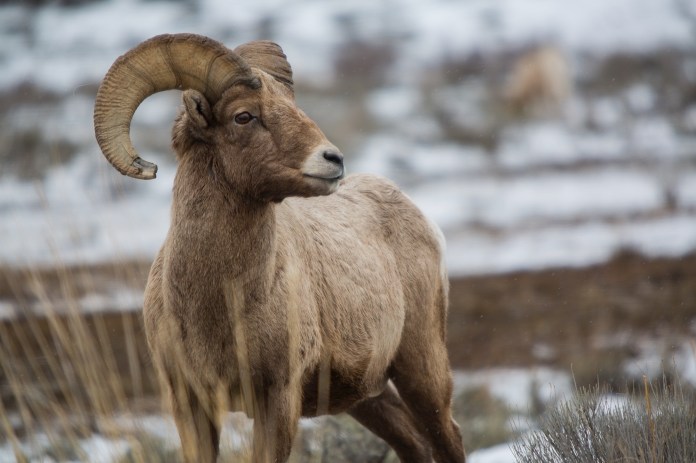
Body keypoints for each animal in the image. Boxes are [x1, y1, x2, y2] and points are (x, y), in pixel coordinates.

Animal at [93, 33, 465, 463]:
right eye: (243, 116)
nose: (333, 159)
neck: (221, 304)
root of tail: (417, 213)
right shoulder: (190, 403)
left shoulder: (278, 399)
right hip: (367, 398)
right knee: (414, 444)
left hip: (421, 369)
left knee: (447, 438)